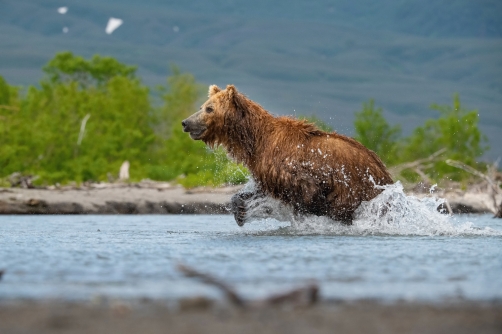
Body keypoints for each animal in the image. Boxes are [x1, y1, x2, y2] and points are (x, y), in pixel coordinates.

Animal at [182, 85, 394, 227]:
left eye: (209, 108)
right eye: (202, 106)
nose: (186, 122)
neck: (256, 141)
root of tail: (384, 171)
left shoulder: (293, 169)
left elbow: (307, 195)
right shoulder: (267, 171)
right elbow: (262, 189)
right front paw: (240, 211)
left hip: (355, 186)